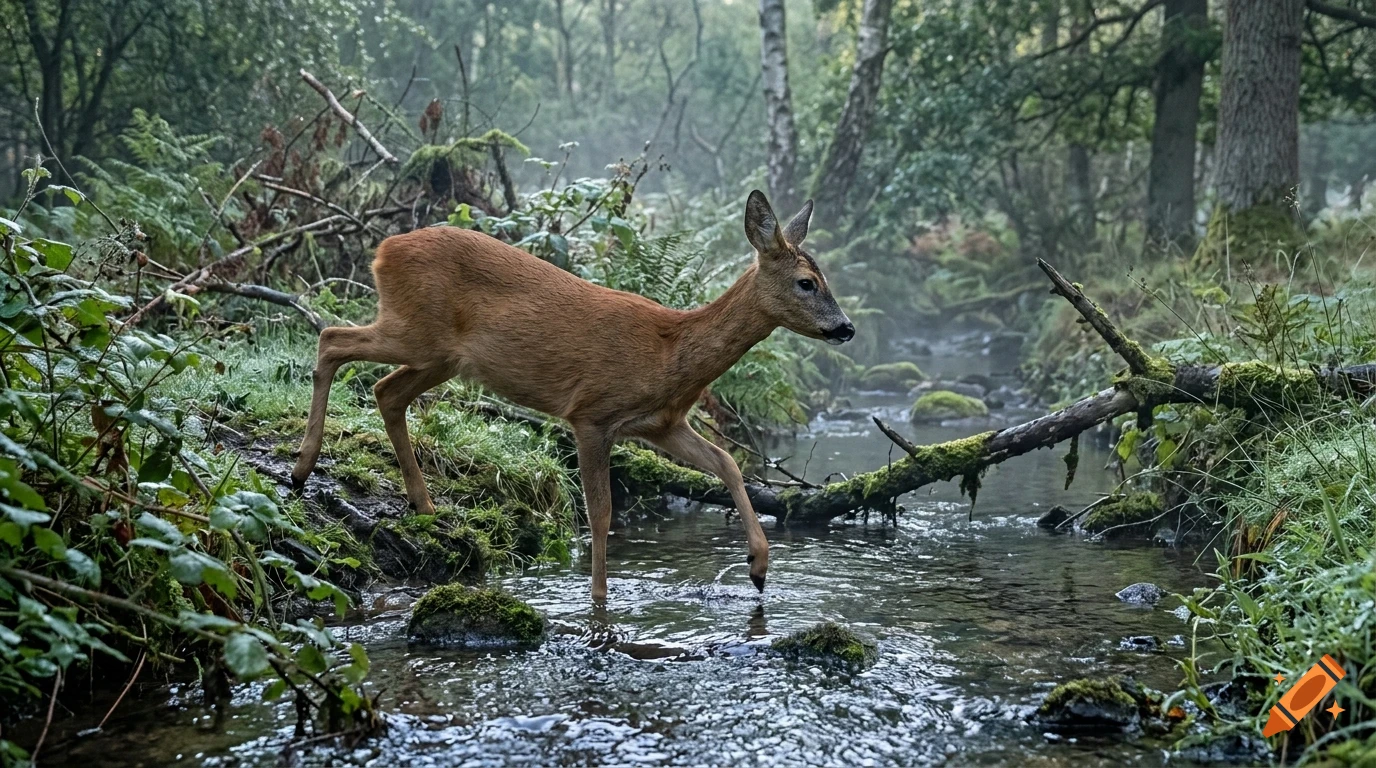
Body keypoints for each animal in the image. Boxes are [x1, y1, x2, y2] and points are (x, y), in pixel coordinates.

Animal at [290, 190, 854, 603]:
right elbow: (600, 516)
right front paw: (600, 600)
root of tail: (384, 249)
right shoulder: (592, 415)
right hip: (416, 332)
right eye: (807, 282)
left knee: (385, 391)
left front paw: (759, 567)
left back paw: (423, 504)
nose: (846, 327)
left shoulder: (662, 424)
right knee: (332, 338)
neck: (670, 351)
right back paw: (302, 467)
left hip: (440, 357)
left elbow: (727, 463)